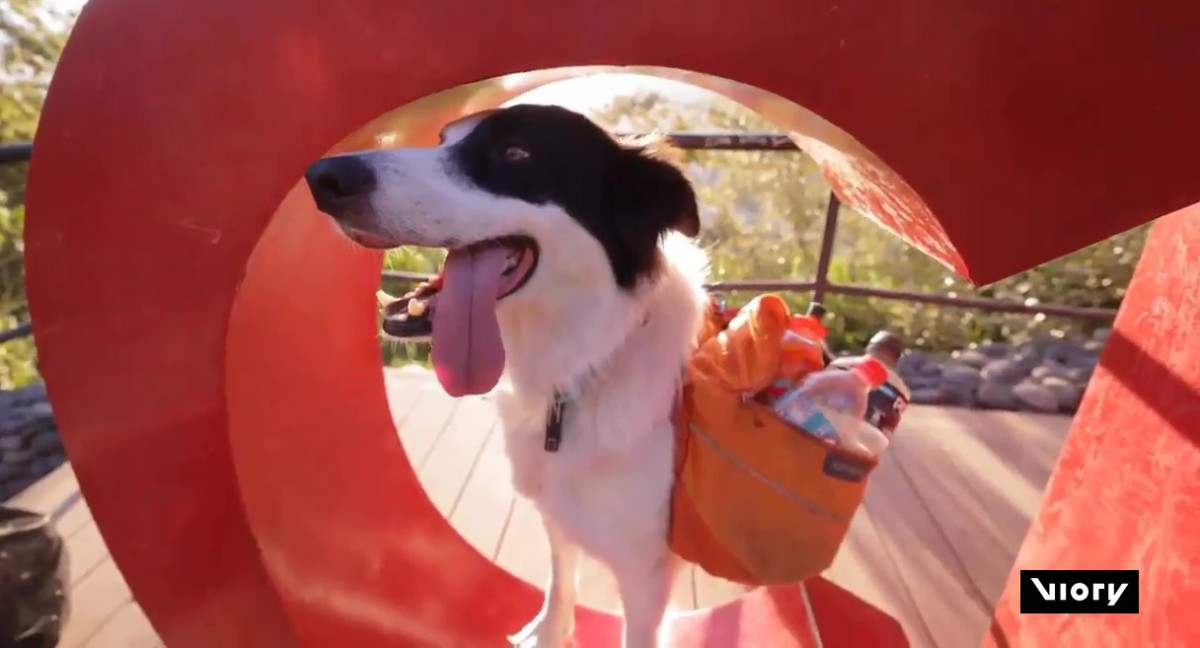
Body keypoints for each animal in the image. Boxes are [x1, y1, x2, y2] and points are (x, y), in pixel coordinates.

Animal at [304, 105, 710, 648]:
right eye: (442, 139)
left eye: (516, 152)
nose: (325, 178)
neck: (583, 367)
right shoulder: (557, 510)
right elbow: (560, 574)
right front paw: (550, 630)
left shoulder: (644, 574)